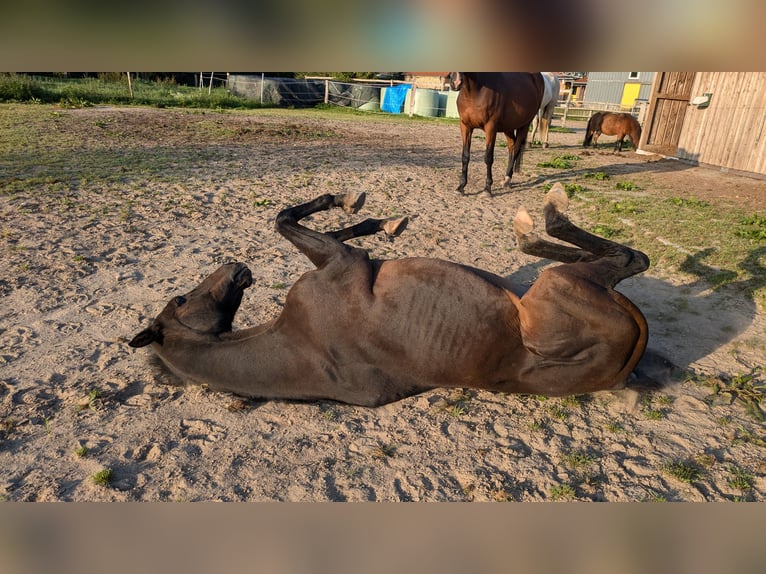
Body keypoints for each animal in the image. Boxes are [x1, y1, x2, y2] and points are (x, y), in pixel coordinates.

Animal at [129, 186, 652, 410]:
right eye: (180, 298)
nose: (237, 268)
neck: (298, 343)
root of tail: (621, 368)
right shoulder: (343, 261)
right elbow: (288, 218)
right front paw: (355, 205)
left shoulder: (340, 258)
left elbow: (331, 225)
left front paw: (382, 220)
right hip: (558, 286)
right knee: (627, 256)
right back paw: (541, 214)